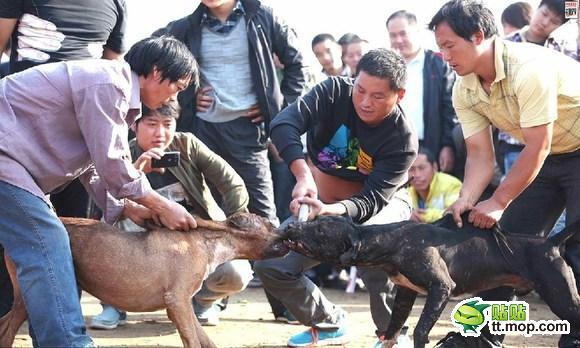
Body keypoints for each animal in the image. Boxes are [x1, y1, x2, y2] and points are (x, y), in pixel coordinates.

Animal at [0, 212, 288, 348]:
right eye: (269, 223)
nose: (290, 228)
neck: (210, 240)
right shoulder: (177, 302)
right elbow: (194, 341)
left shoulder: (181, 306)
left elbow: (204, 339)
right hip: (28, 296)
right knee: (6, 331)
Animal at [280, 215, 580, 348]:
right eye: (316, 218)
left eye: (320, 230)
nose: (290, 225)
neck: (390, 242)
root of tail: (551, 242)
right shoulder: (404, 295)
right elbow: (391, 332)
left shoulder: (441, 289)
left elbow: (420, 331)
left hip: (562, 298)